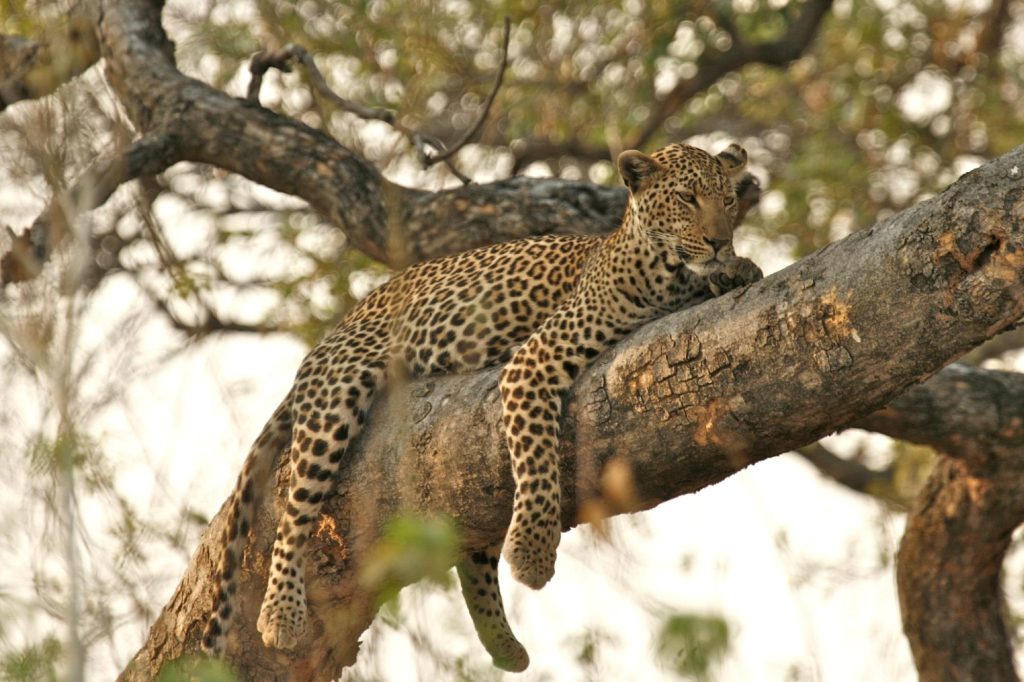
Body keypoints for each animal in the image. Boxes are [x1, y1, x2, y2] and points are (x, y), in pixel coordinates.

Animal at [201, 141, 764, 672]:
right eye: (687, 198)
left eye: (728, 200)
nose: (719, 241)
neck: (669, 272)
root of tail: (343, 323)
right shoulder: (533, 360)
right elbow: (537, 461)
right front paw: (533, 553)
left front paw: (739, 268)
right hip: (335, 396)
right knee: (295, 508)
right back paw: (280, 611)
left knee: (472, 555)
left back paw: (503, 644)